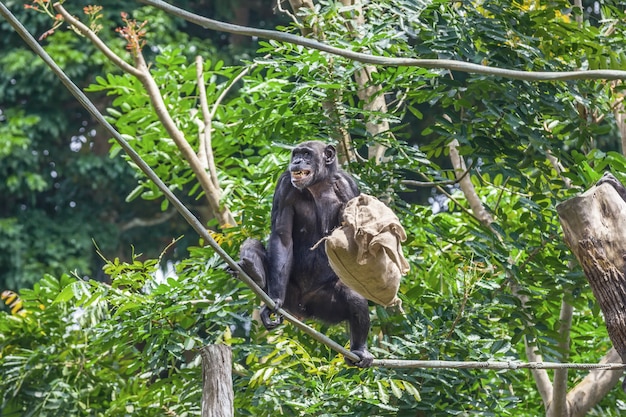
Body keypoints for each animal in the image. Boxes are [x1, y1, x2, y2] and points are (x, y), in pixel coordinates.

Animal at [234, 141, 370, 368]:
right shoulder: (284, 187)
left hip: (325, 305)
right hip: (289, 292)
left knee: (354, 298)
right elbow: (282, 237)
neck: (319, 184)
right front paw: (273, 301)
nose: (297, 161)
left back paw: (359, 350)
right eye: (296, 154)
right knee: (253, 243)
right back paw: (254, 273)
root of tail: (300, 309)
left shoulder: (350, 188)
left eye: (307, 154)